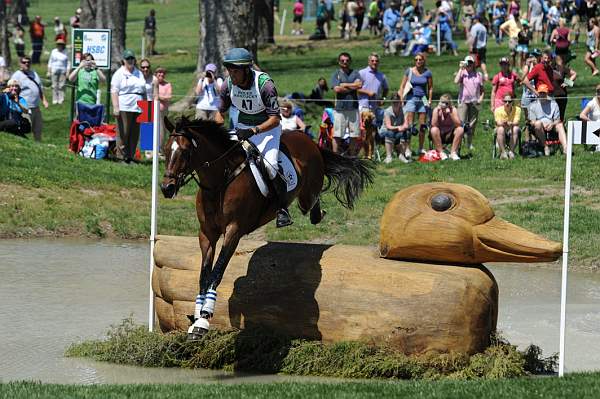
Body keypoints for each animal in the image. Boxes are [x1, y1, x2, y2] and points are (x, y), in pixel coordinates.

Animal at [162, 117, 372, 342]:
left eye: (185, 152)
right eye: (165, 150)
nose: (166, 188)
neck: (219, 183)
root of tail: (308, 139)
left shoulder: (233, 231)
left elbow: (216, 273)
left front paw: (203, 320)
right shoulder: (206, 235)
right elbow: (204, 275)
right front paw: (195, 320)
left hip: (307, 193)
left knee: (313, 202)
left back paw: (313, 213)